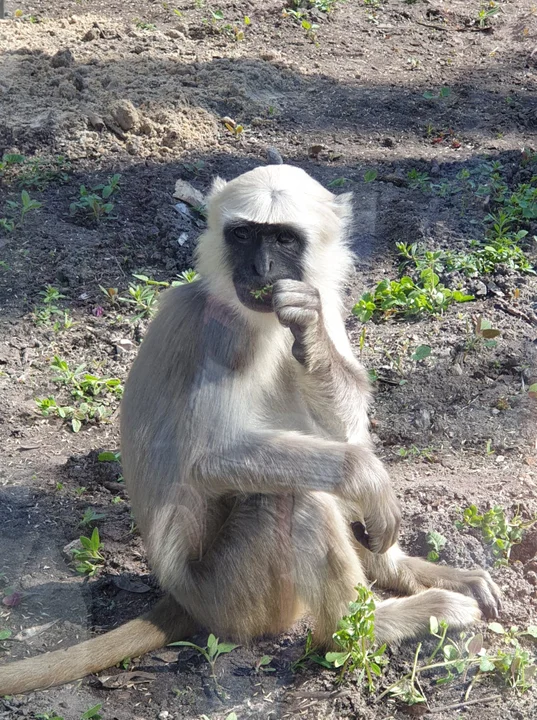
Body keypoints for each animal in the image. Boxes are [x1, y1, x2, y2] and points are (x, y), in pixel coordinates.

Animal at [0, 163, 500, 692]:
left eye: (282, 238)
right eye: (243, 236)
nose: (261, 269)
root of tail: (181, 598)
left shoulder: (319, 299)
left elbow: (344, 419)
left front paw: (310, 336)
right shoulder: (223, 331)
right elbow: (210, 460)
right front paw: (366, 478)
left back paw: (403, 572)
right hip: (235, 598)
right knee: (293, 497)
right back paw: (367, 628)